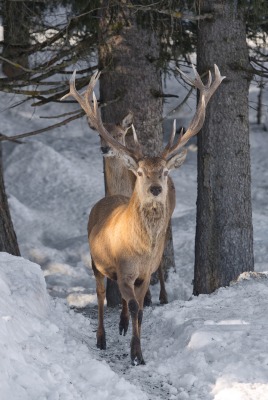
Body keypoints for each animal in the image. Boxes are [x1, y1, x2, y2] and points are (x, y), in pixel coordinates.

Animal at [61, 63, 224, 366]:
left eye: (165, 171)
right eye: (139, 172)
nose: (156, 189)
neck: (140, 250)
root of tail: (107, 198)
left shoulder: (143, 274)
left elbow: (140, 308)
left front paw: (138, 351)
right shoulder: (124, 269)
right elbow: (135, 305)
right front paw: (135, 354)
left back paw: (123, 324)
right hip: (94, 262)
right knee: (101, 295)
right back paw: (101, 338)